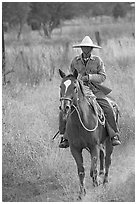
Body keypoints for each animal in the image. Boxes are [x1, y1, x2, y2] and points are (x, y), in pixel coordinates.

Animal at [58, 68, 114, 199]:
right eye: (60, 86)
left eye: (74, 87)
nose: (65, 107)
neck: (80, 122)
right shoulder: (75, 149)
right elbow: (81, 170)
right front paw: (81, 192)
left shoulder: (94, 146)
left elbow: (93, 166)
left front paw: (96, 181)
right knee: (102, 155)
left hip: (109, 141)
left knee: (108, 159)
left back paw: (105, 180)